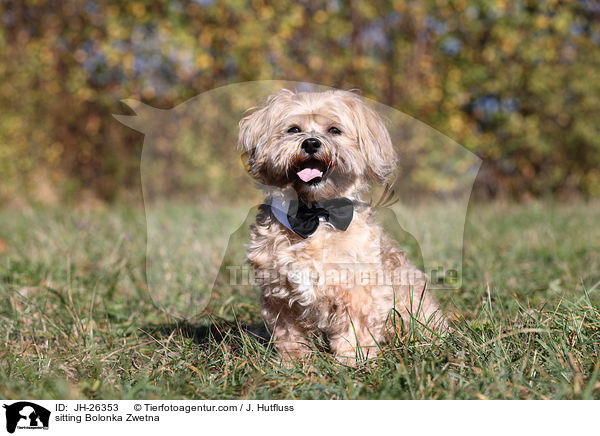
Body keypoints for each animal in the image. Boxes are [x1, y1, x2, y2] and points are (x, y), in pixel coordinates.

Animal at [239, 89, 446, 364]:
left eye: (334, 130)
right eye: (294, 129)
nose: (311, 143)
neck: (314, 215)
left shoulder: (359, 292)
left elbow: (354, 331)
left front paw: (353, 362)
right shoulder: (279, 298)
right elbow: (290, 336)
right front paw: (294, 364)